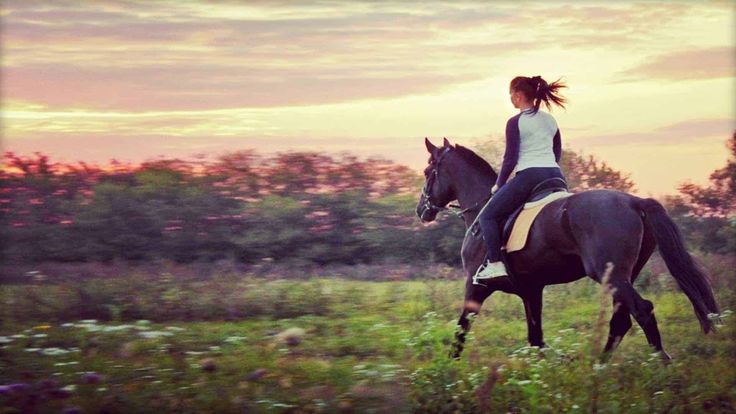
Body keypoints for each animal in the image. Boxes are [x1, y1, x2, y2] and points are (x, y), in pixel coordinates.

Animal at [416, 137, 720, 360]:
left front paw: (450, 373)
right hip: (622, 277)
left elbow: (461, 330)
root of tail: (635, 201)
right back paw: (598, 367)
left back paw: (658, 364)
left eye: (428, 171)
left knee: (642, 311)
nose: (421, 210)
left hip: (612, 276)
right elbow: (536, 339)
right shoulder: (531, 290)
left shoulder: (475, 286)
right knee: (621, 320)